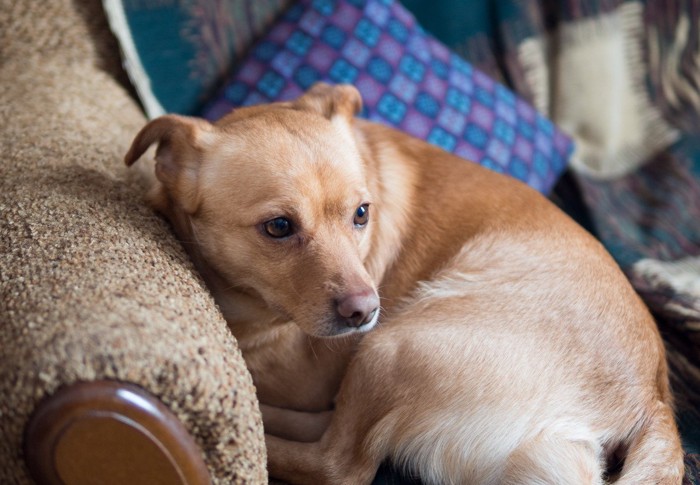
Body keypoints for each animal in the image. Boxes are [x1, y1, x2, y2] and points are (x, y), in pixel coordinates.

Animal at [123, 81, 680, 482]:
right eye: (278, 227)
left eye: (362, 213)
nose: (365, 310)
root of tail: (653, 402)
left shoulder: (302, 365)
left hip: (392, 348)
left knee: (339, 463)